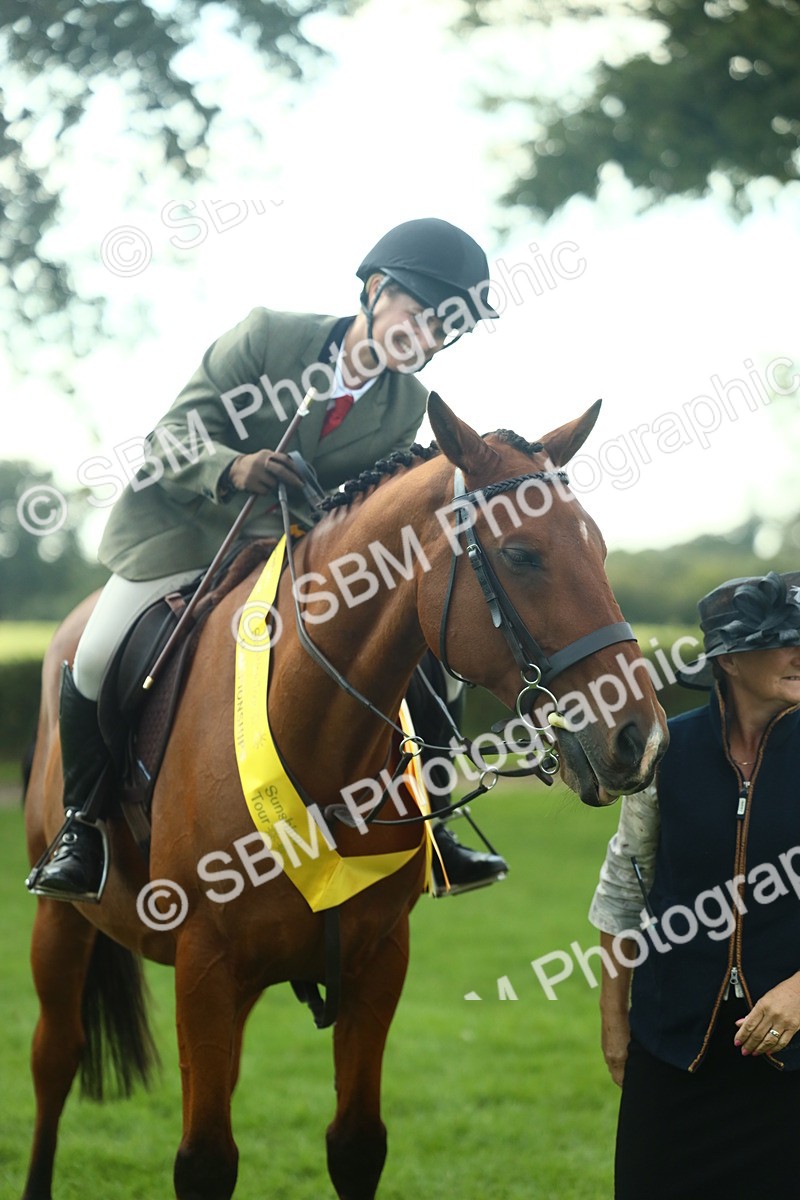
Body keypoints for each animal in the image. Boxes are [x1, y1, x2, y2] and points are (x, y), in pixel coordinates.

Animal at [22, 394, 668, 1200]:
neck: (317, 754)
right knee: (55, 1058)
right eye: (521, 555)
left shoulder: (377, 959)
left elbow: (356, 1144)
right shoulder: (206, 969)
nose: (639, 737)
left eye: (602, 550)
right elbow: (204, 1161)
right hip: (62, 922)